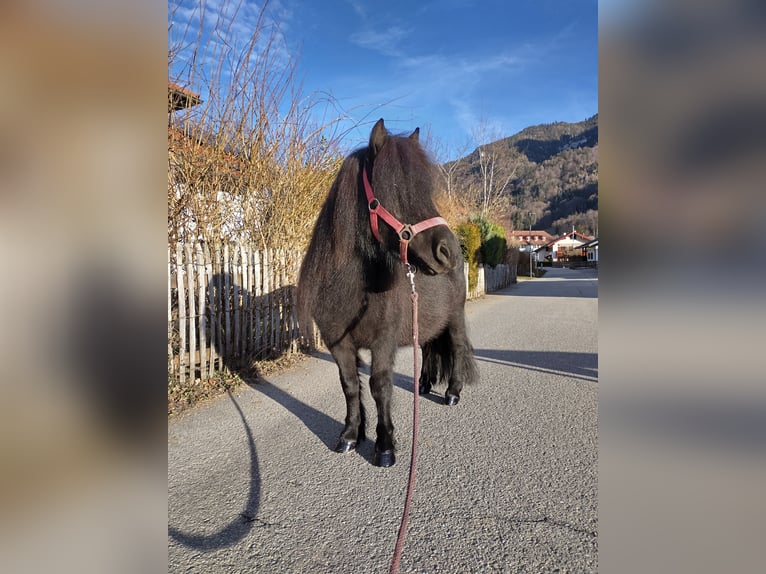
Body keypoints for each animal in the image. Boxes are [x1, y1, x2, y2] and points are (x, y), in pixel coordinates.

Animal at [296, 118, 476, 468]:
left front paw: (385, 446)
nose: (446, 251)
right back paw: (424, 385)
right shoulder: (338, 343)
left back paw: (452, 393)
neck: (352, 291)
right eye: (393, 187)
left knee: (458, 348)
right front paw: (350, 436)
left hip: (456, 317)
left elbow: (380, 386)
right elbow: (350, 385)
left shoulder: (383, 342)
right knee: (428, 348)